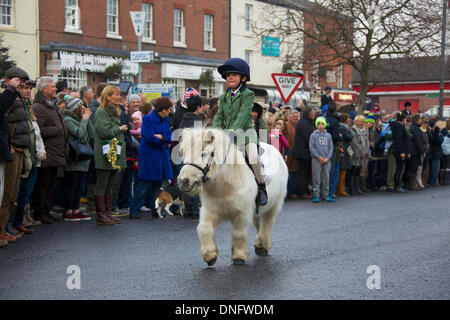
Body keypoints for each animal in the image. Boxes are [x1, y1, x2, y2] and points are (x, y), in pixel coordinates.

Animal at [177, 127, 288, 264]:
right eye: (184, 154)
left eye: (203, 154)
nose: (183, 181)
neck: (225, 184)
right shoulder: (211, 210)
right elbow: (204, 228)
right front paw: (210, 255)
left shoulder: (242, 212)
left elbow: (238, 233)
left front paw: (239, 256)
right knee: (259, 222)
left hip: (275, 204)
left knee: (266, 222)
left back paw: (262, 246)